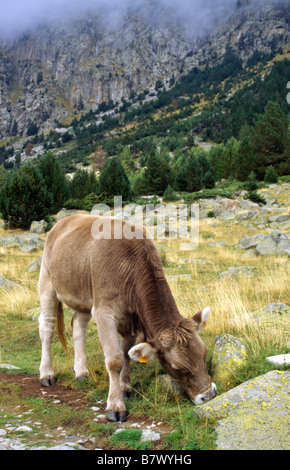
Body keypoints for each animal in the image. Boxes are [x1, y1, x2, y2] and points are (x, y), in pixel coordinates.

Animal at [38, 214, 215, 422]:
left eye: (204, 354)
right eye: (178, 367)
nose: (209, 395)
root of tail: (64, 220)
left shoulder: (130, 319)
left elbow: (126, 354)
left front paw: (124, 387)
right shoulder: (104, 312)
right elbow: (115, 360)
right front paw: (115, 406)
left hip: (84, 296)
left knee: (78, 328)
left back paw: (81, 372)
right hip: (47, 282)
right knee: (47, 328)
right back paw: (46, 374)